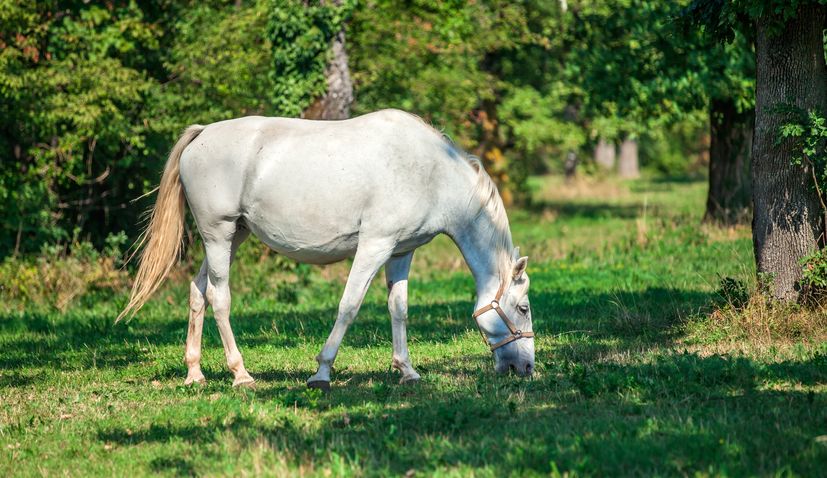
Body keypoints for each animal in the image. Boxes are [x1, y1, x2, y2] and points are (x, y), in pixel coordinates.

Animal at [121, 108, 536, 388]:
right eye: (523, 307)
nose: (527, 368)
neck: (430, 173)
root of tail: (202, 132)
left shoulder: (401, 253)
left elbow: (398, 309)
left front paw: (407, 370)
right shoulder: (374, 246)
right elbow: (349, 306)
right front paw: (322, 372)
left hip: (231, 237)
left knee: (198, 291)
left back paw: (195, 373)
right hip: (218, 234)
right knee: (218, 296)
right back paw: (240, 374)